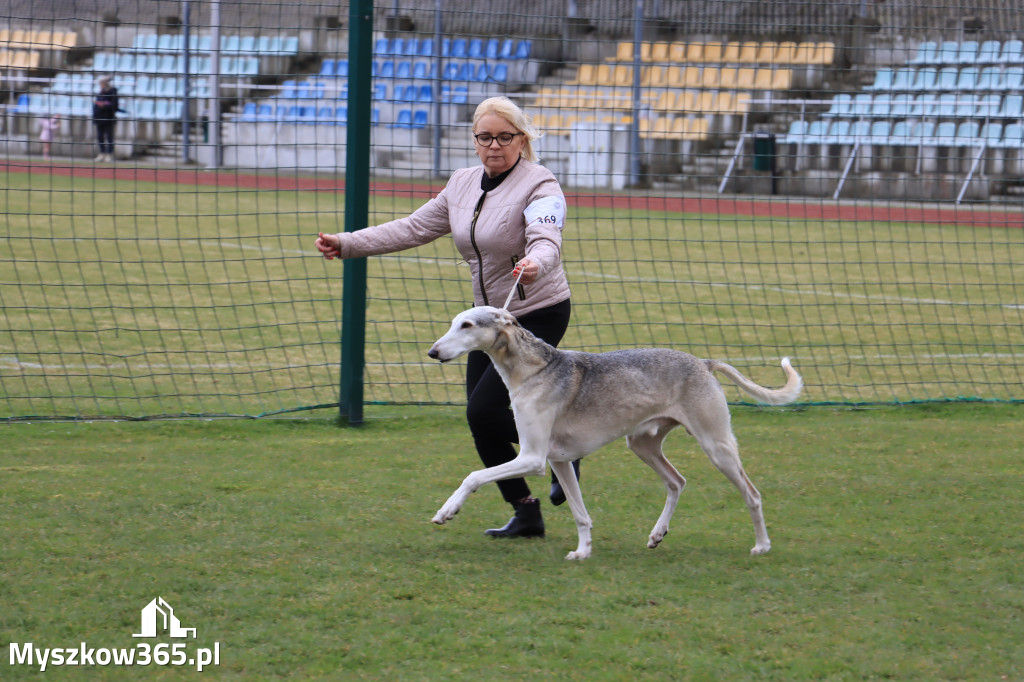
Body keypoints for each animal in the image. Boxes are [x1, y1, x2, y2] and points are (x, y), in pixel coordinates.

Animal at [428, 303, 802, 557]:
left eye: (467, 324)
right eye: (454, 322)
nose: (433, 351)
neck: (536, 370)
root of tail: (703, 363)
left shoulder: (533, 458)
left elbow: (474, 476)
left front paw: (446, 511)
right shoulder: (558, 461)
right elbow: (580, 513)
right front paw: (583, 551)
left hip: (716, 446)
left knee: (751, 494)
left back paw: (762, 545)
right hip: (642, 445)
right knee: (677, 482)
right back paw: (657, 533)